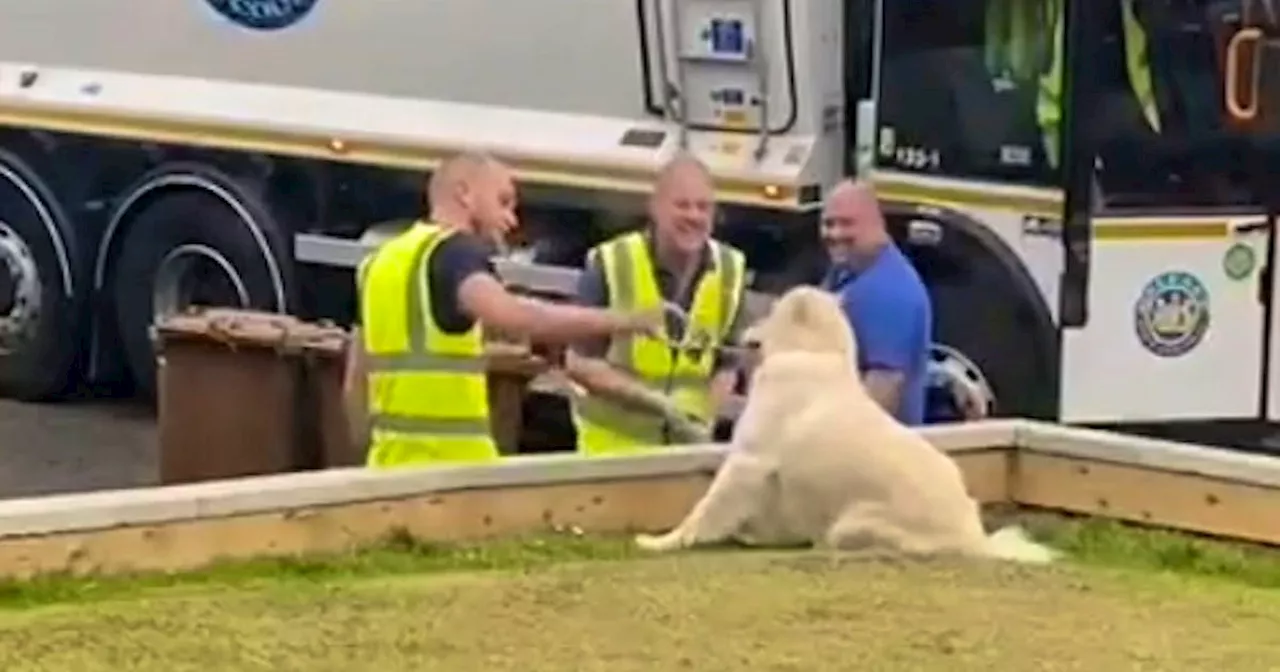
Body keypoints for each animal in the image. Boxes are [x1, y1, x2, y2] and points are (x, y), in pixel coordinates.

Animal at [634, 282, 1054, 560]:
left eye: (770, 312)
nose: (738, 330)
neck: (815, 354)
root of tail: (975, 537)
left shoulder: (749, 460)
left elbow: (705, 509)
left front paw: (663, 542)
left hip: (854, 523)